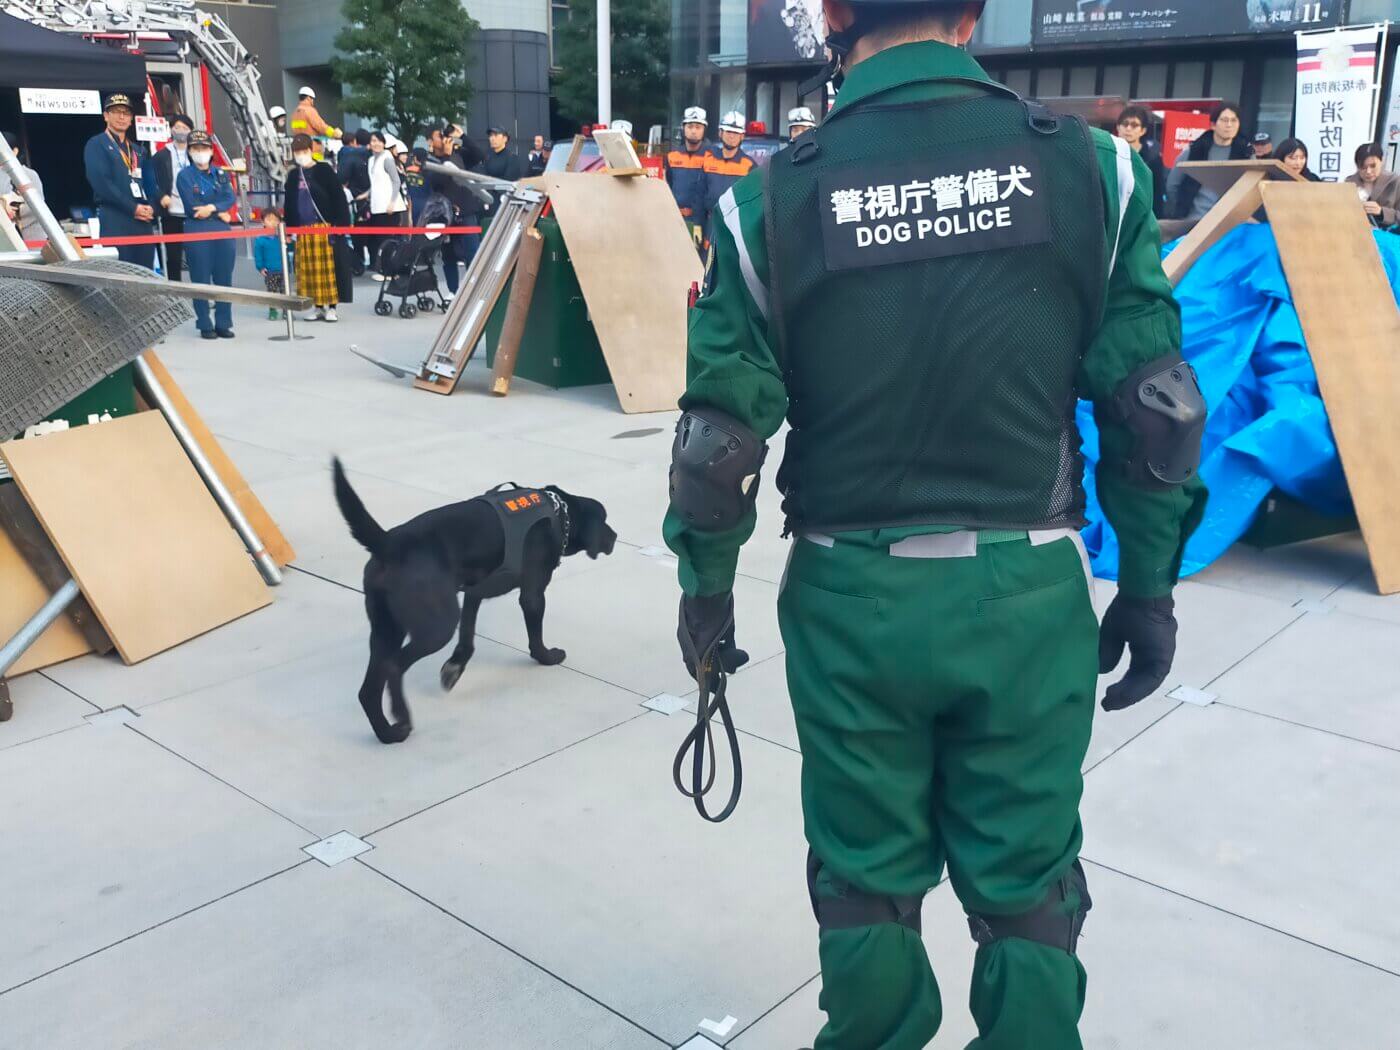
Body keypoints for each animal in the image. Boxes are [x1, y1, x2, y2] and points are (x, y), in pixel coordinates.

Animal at [332, 458, 617, 743]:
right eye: (604, 520)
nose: (615, 536)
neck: (560, 512)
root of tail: (388, 543)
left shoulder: (474, 592)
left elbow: (468, 635)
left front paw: (454, 667)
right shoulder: (533, 592)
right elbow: (535, 635)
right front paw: (547, 656)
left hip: (386, 629)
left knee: (368, 690)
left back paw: (388, 733)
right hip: (438, 625)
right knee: (393, 668)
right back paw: (402, 717)